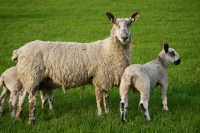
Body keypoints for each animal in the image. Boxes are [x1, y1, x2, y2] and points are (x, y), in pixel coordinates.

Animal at [11, 11, 140, 124]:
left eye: (130, 23)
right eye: (116, 24)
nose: (124, 37)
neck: (108, 49)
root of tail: (19, 51)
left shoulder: (105, 77)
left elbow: (106, 97)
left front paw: (107, 112)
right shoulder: (98, 78)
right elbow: (99, 99)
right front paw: (100, 115)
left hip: (27, 77)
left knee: (21, 95)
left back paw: (18, 117)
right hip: (32, 76)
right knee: (31, 99)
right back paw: (31, 121)